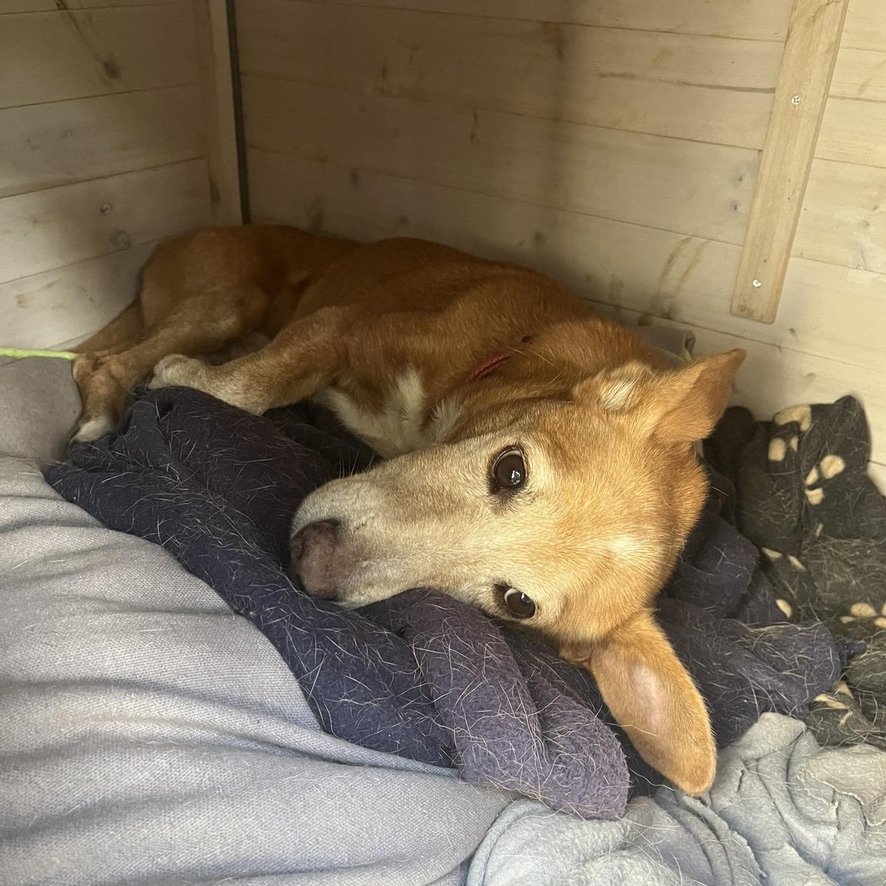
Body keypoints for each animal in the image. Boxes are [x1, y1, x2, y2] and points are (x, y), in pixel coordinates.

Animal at [73, 225, 744, 796]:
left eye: (516, 603)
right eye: (511, 469)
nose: (313, 562)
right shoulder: (337, 326)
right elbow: (248, 386)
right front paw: (189, 378)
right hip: (229, 299)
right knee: (98, 360)